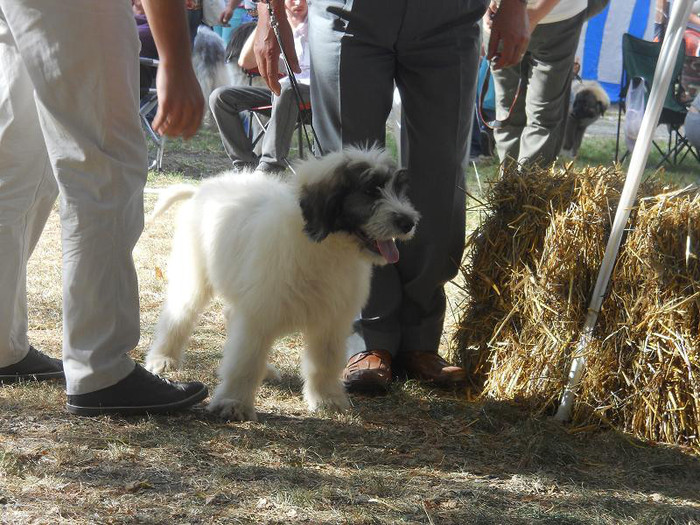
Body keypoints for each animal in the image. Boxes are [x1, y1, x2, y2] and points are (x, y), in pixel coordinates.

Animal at [146, 145, 422, 420]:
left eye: (399, 189)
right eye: (370, 190)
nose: (408, 222)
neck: (327, 247)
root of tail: (202, 189)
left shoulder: (331, 320)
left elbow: (325, 361)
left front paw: (327, 398)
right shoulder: (259, 313)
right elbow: (245, 361)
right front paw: (233, 402)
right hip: (193, 277)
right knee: (178, 316)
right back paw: (163, 357)